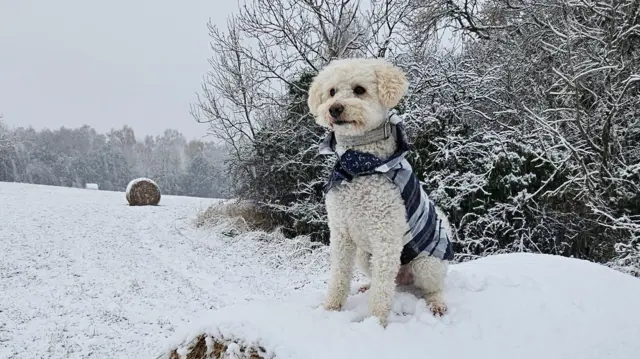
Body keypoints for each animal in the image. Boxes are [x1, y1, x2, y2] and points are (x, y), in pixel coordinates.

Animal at [306, 57, 452, 328]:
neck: (359, 165)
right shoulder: (341, 232)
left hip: (427, 264)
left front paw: (376, 322)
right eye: (331, 92)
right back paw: (367, 286)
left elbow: (383, 291)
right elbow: (339, 275)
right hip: (365, 255)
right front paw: (331, 308)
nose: (334, 109)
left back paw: (436, 303)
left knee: (430, 287)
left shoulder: (386, 237)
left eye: (359, 90)